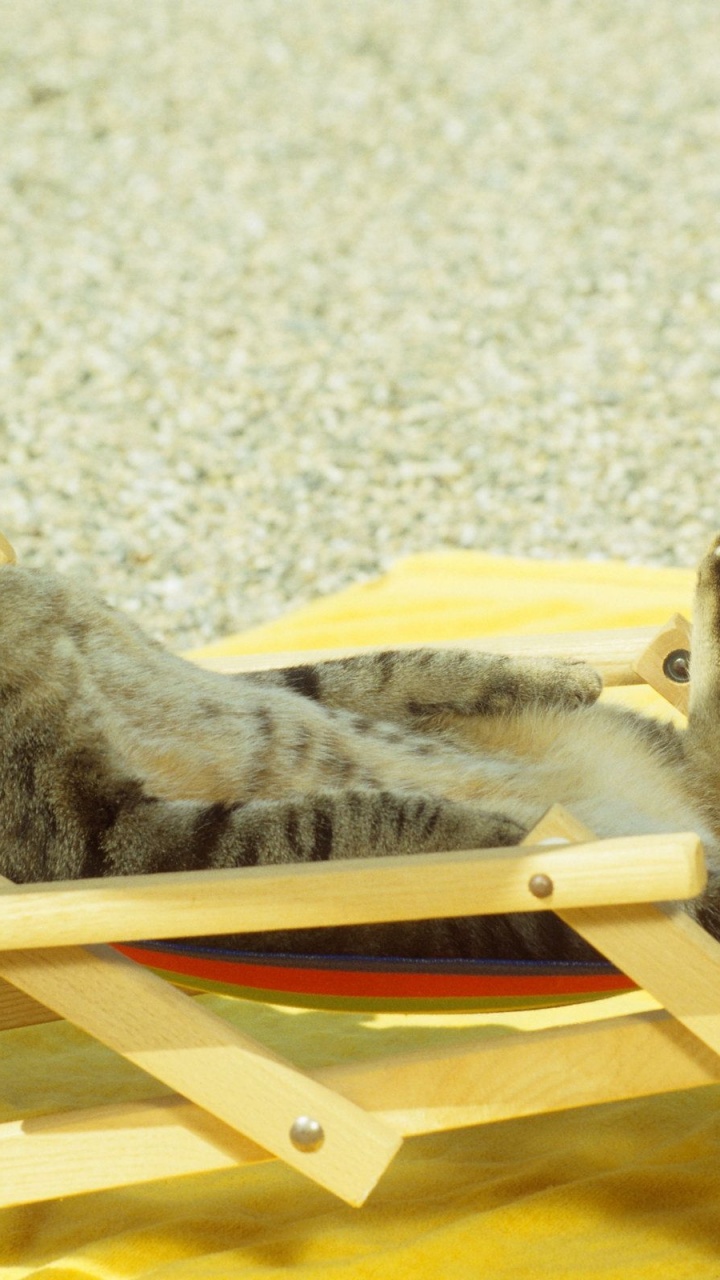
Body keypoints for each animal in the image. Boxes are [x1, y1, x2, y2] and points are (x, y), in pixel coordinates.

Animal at [1, 529, 717, 962]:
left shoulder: (258, 680)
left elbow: (376, 669)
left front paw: (556, 677)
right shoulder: (107, 845)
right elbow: (355, 819)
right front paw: (519, 840)